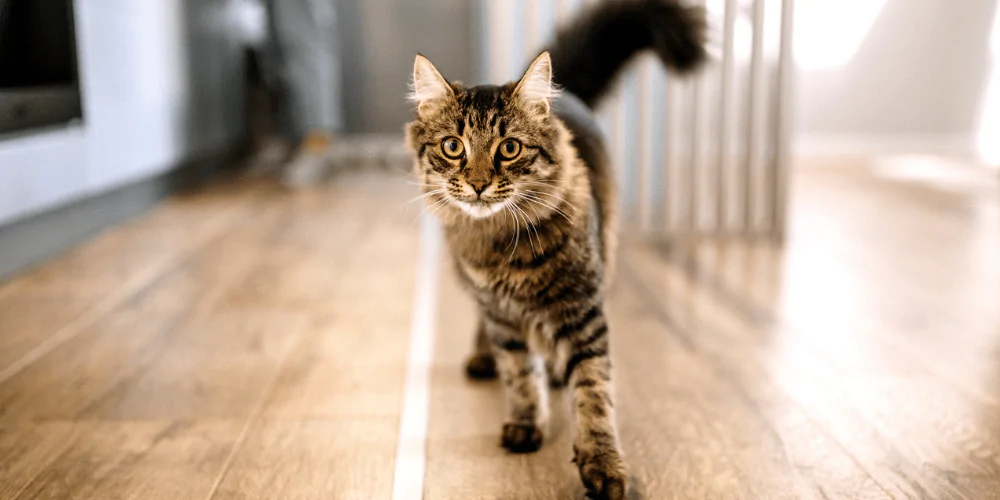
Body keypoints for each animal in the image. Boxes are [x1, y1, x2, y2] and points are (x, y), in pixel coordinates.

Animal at [404, 2, 704, 496]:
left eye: (509, 148)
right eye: (452, 147)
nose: (478, 184)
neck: (504, 247)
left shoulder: (582, 310)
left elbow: (593, 391)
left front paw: (602, 463)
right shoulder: (500, 312)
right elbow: (519, 374)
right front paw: (527, 423)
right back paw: (484, 357)